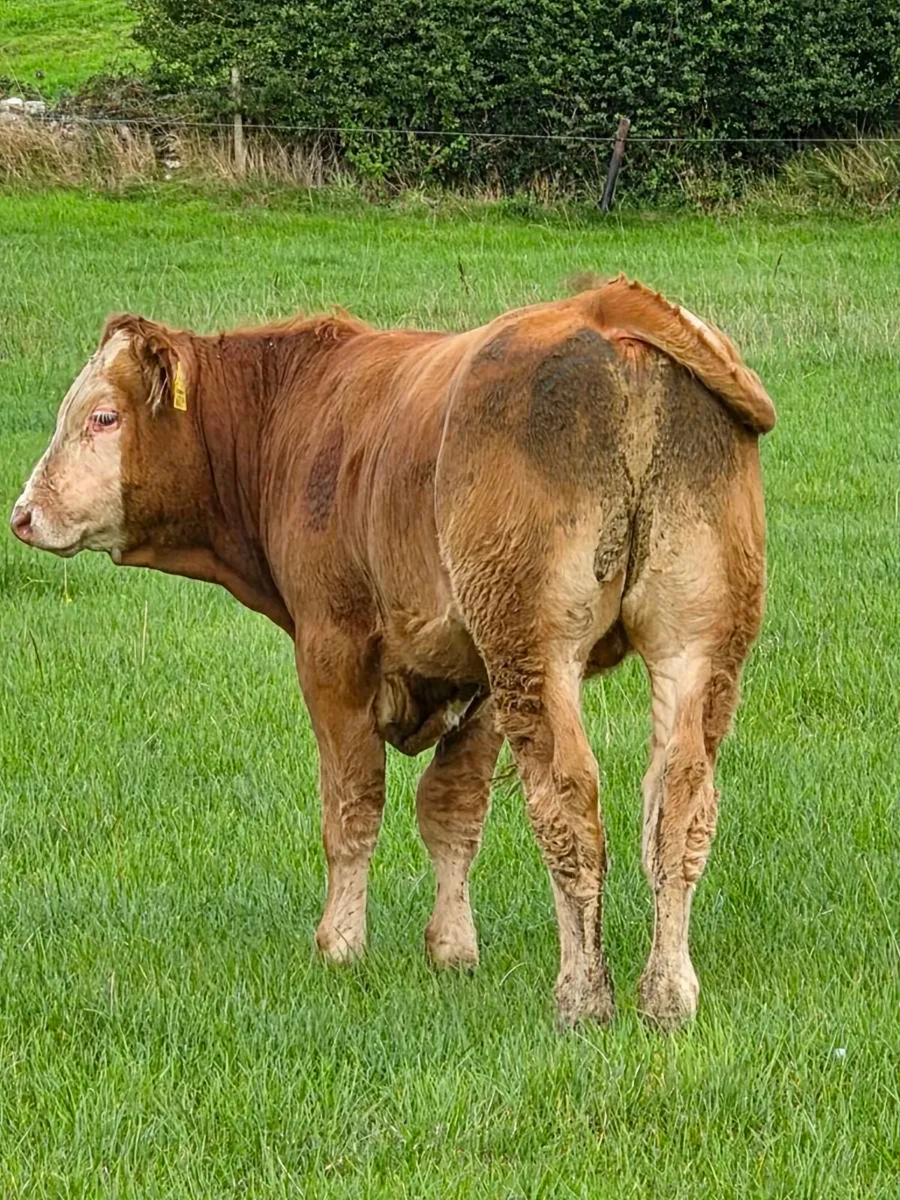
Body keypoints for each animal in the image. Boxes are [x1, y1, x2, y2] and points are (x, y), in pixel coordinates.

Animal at [9, 275, 775, 1030]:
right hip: (693, 649)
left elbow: (352, 804)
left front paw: (341, 943)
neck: (295, 410)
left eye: (103, 418)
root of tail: (602, 312)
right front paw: (453, 948)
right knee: (679, 805)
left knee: (568, 804)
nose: (22, 514)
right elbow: (452, 811)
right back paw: (668, 994)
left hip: (535, 651)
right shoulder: (477, 680)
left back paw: (582, 998)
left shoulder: (333, 649)